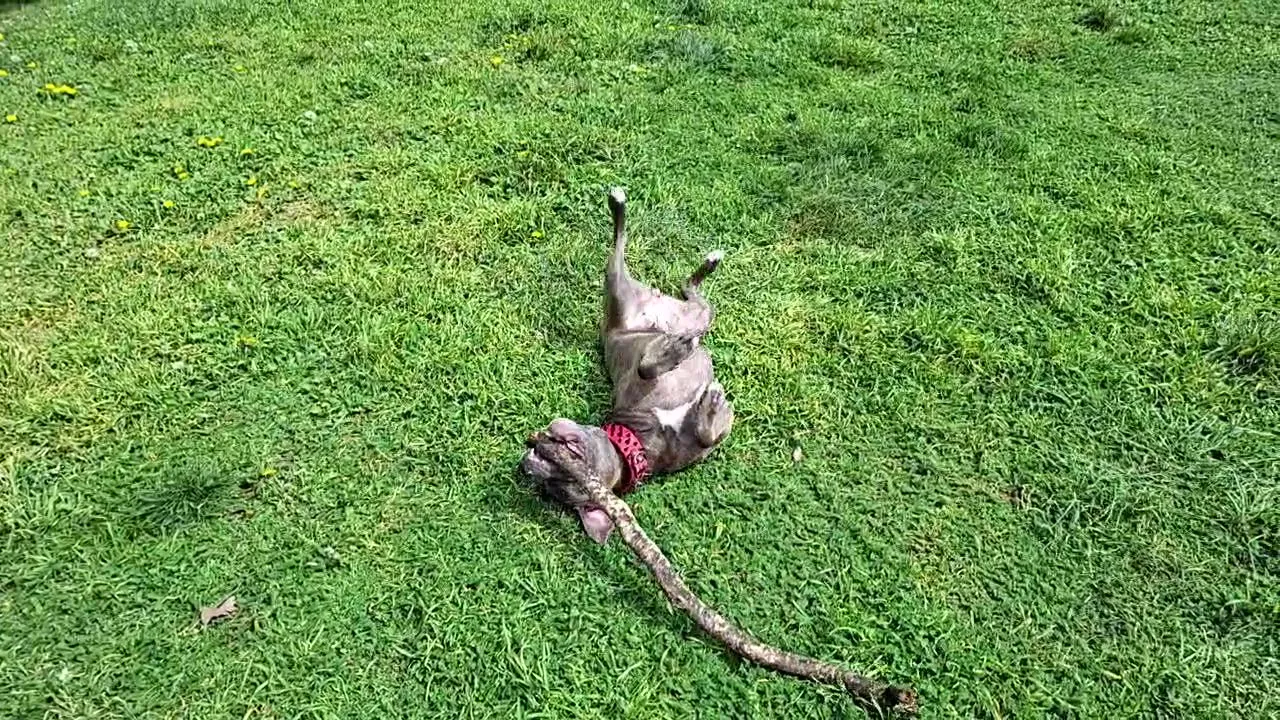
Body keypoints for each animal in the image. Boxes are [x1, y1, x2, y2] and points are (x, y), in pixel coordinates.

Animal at [521, 188, 734, 543]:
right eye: (565, 481)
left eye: (563, 469)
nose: (535, 453)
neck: (637, 443)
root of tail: (655, 301)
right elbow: (706, 431)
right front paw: (712, 404)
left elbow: (649, 368)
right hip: (636, 293)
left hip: (642, 298)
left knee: (677, 283)